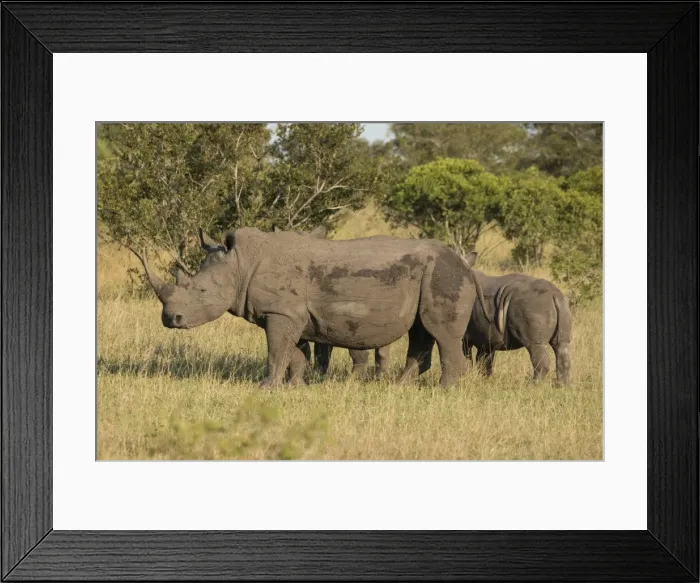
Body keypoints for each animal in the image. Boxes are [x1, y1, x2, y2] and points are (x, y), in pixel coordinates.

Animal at [132, 226, 485, 388]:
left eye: (202, 290)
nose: (170, 319)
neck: (240, 264)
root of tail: (466, 265)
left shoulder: (280, 312)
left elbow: (276, 352)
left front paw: (266, 388)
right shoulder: (290, 314)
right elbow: (295, 354)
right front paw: (295, 387)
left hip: (444, 274)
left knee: (442, 333)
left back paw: (443, 390)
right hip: (432, 276)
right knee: (421, 331)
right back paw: (399, 388)